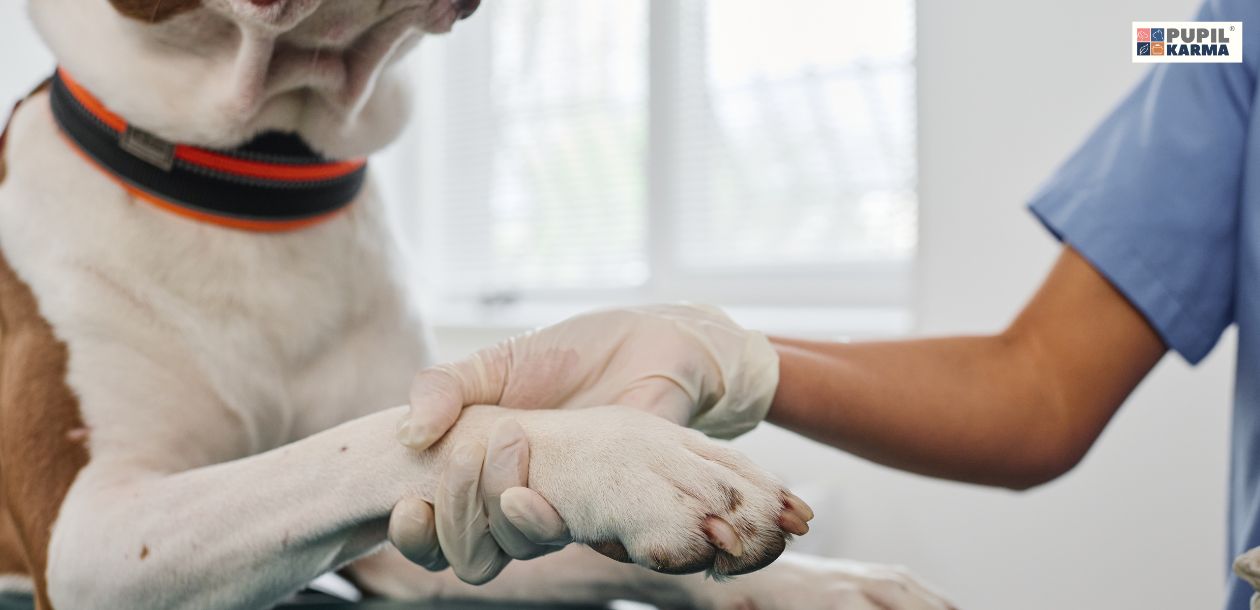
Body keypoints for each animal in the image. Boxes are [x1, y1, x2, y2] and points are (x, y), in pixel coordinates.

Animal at [0, 2, 952, 607]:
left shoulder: (396, 564)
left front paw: (826, 586)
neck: (257, 185)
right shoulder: (92, 534)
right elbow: (372, 441)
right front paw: (623, 456)